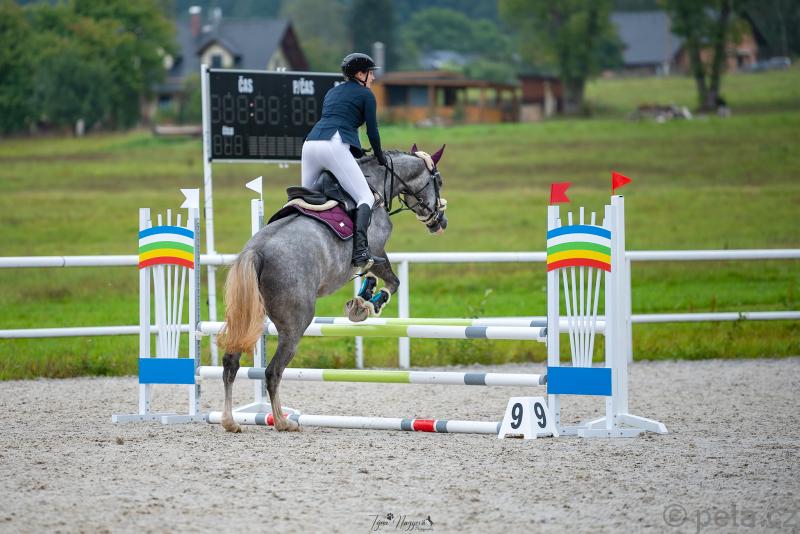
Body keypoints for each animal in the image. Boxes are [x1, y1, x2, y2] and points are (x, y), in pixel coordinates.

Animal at [216, 146, 448, 432]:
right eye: (439, 182)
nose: (441, 222)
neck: (377, 183)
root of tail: (255, 252)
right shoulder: (376, 250)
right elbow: (392, 281)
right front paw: (368, 304)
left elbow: (372, 277)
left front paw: (361, 301)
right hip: (295, 324)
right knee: (273, 371)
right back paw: (282, 421)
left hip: (247, 316)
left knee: (231, 363)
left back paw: (230, 421)